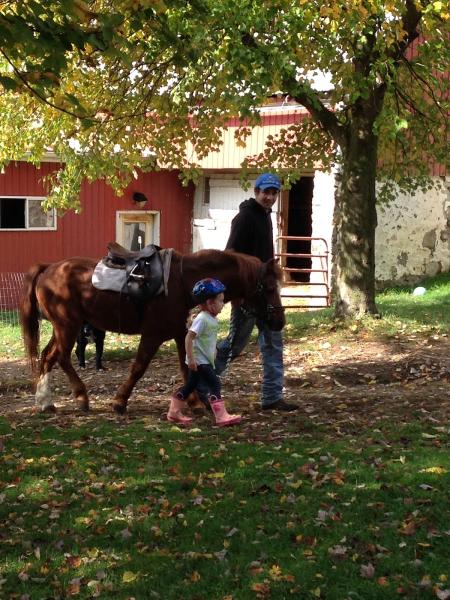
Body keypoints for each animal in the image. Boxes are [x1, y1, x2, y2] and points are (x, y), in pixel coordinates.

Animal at [20, 248, 284, 412]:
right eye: (270, 288)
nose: (279, 322)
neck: (182, 282)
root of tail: (48, 268)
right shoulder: (153, 335)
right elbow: (139, 367)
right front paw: (119, 401)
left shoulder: (181, 334)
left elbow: (186, 369)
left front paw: (194, 402)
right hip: (68, 327)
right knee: (62, 358)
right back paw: (81, 396)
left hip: (63, 328)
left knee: (48, 356)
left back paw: (45, 401)